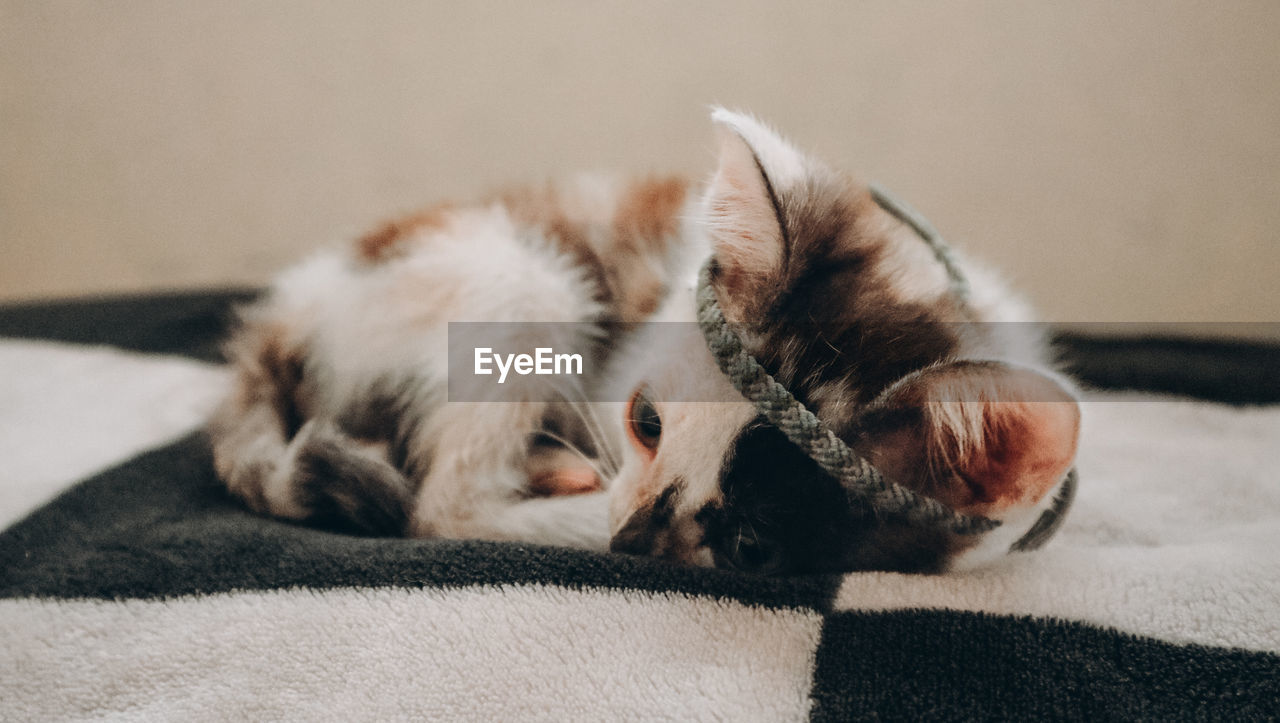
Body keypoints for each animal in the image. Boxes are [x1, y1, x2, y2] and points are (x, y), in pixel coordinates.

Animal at [207, 106, 1080, 573]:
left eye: (752, 547)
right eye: (647, 422)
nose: (626, 541)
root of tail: (273, 322)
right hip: (516, 278)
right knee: (441, 503)